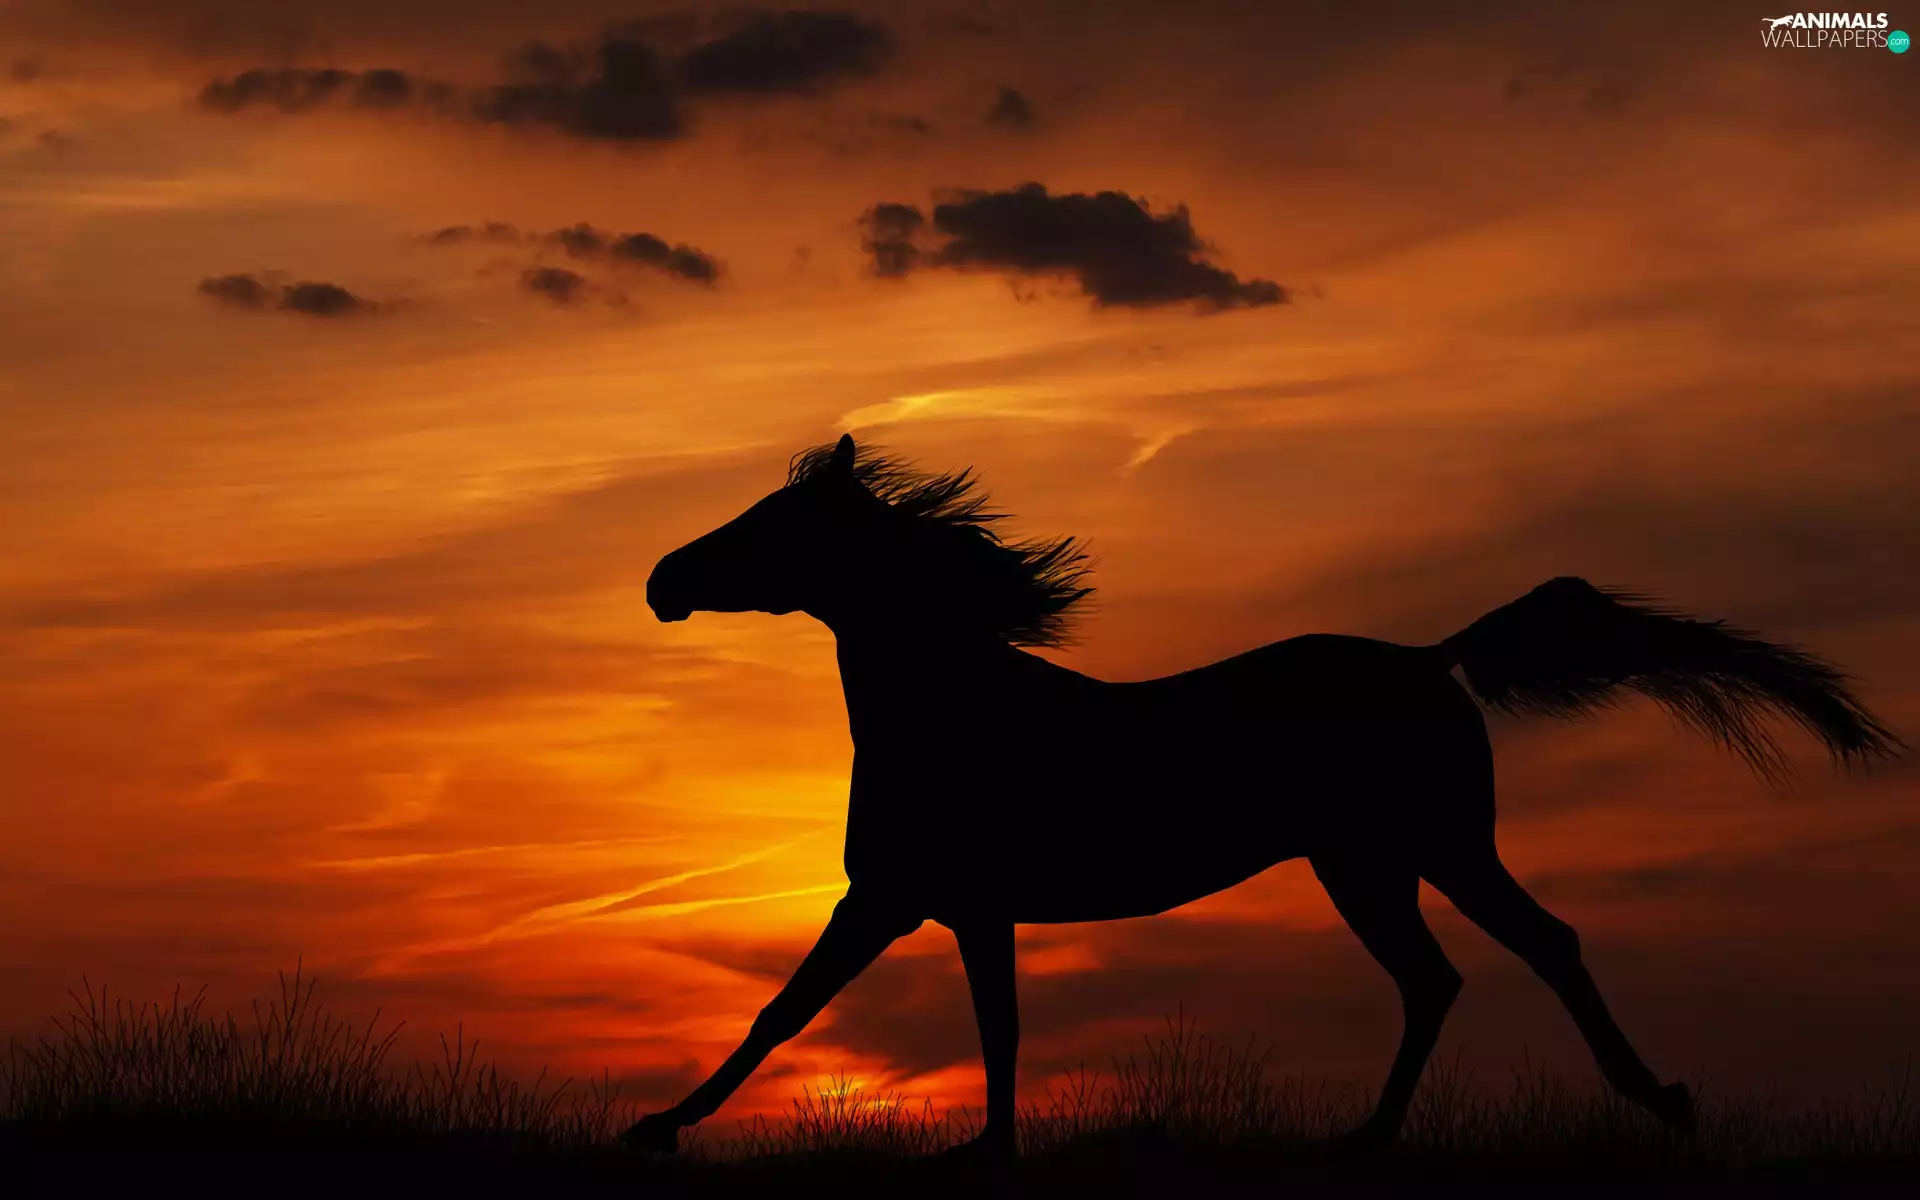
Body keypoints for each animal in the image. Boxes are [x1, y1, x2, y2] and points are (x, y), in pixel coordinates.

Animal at [622, 433, 1902, 1158]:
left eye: (770, 526)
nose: (660, 582)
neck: (953, 709)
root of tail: (1432, 657)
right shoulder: (956, 909)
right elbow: (976, 1024)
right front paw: (984, 1149)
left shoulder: (892, 901)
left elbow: (791, 1013)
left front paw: (656, 1128)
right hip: (1373, 863)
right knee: (1441, 977)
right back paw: (1371, 1134)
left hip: (1427, 848)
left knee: (1536, 946)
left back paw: (1651, 1101)